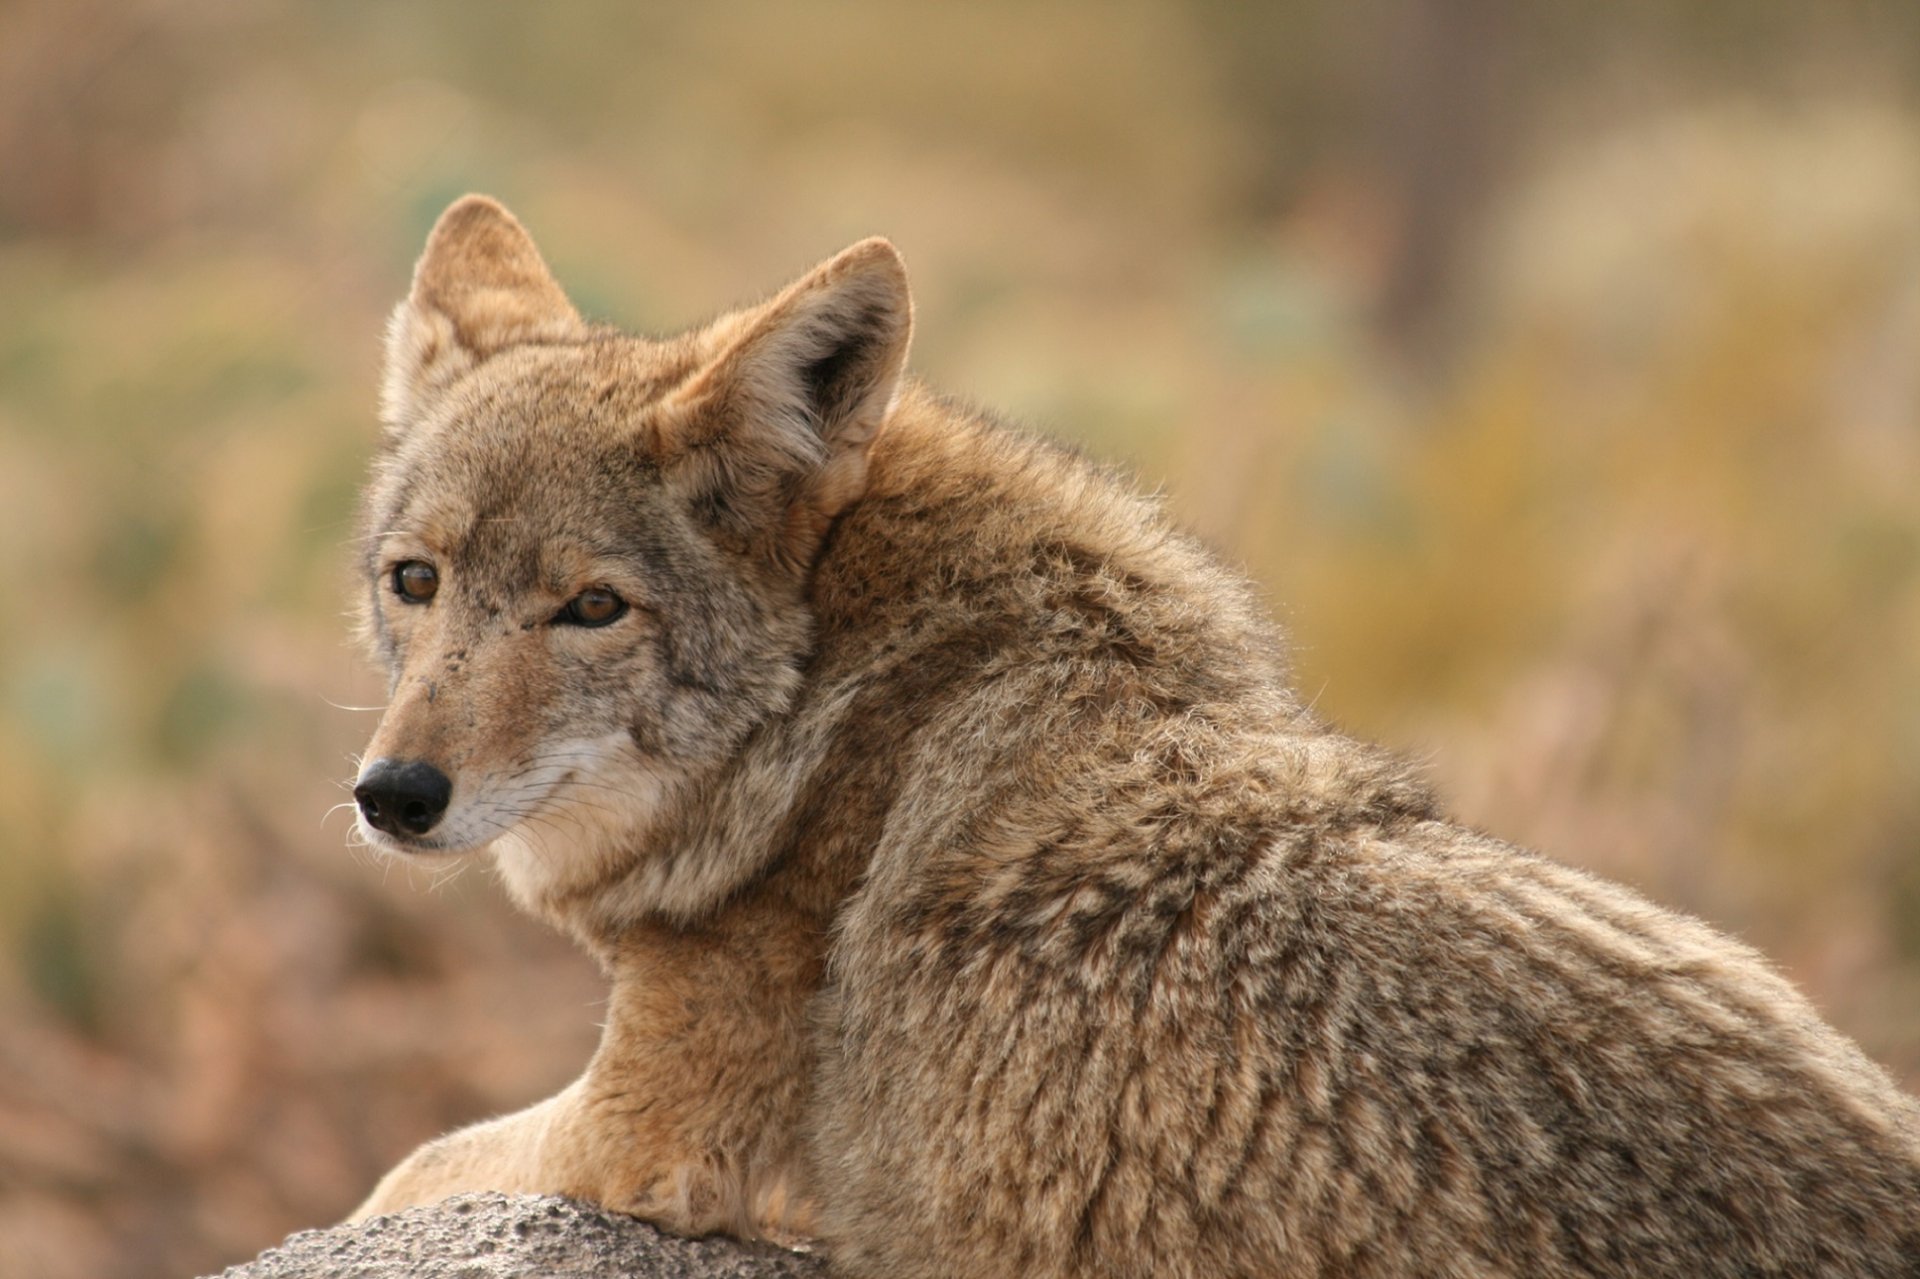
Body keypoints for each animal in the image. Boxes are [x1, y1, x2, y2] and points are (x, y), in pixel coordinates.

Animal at [345, 194, 1920, 1277]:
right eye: (415, 582)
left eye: (591, 608)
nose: (394, 794)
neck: (833, 717)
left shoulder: (645, 1140)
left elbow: (401, 1163)